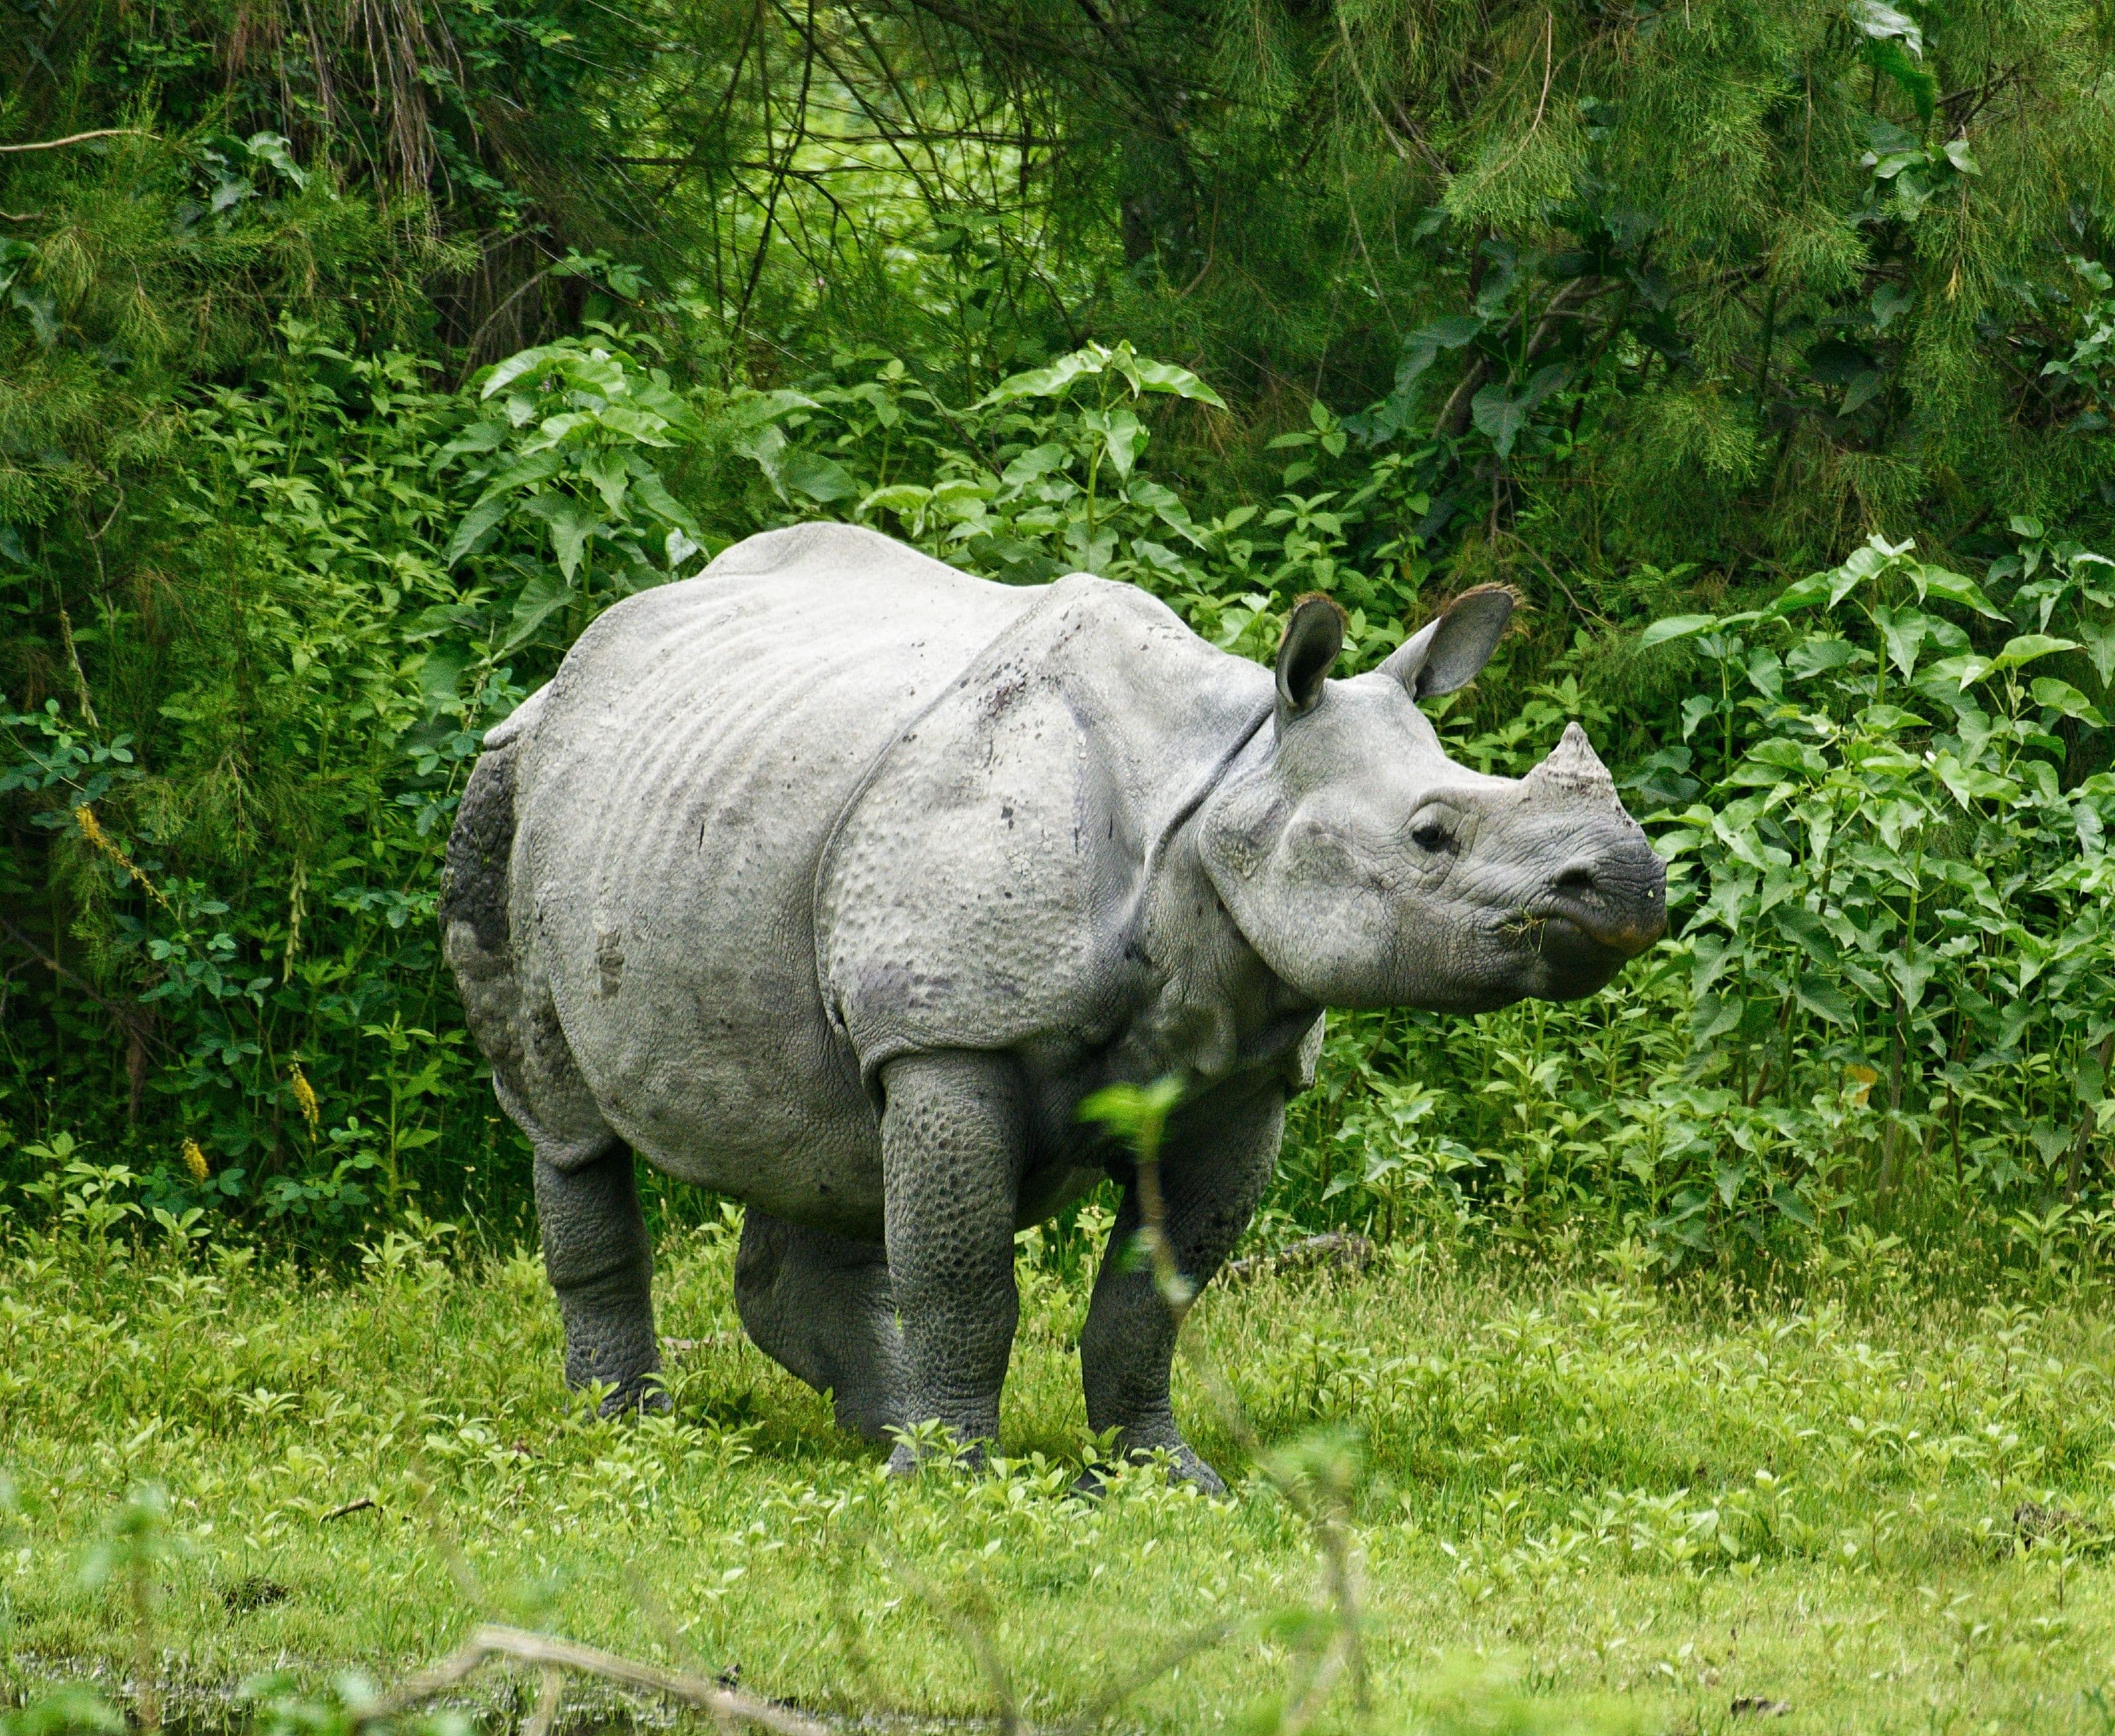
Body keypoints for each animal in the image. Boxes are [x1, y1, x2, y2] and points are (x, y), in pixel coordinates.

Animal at [441, 522, 1664, 1490]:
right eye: (1430, 833)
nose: (1627, 884)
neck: (1222, 786)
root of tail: (571, 668)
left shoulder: (1238, 1073)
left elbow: (1149, 1301)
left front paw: (1162, 1477)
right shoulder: (950, 1029)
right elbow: (963, 1277)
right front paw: (953, 1483)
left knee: (823, 1128)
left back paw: (875, 1430)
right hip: (515, 782)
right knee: (569, 1122)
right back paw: (633, 1430)